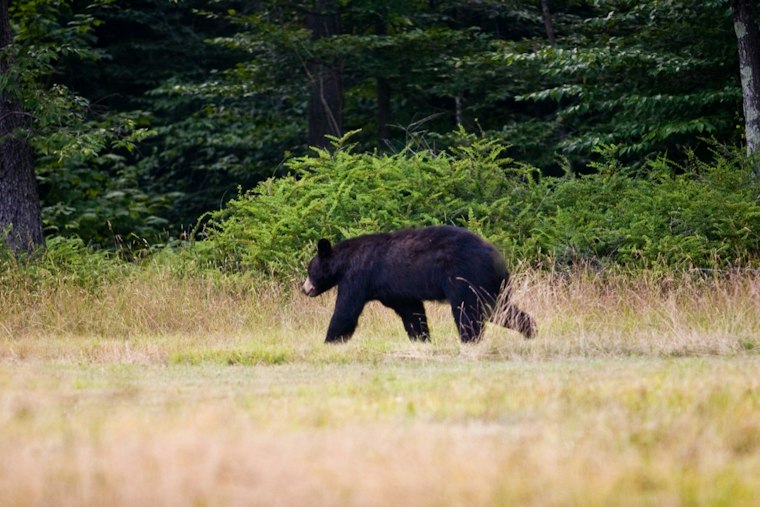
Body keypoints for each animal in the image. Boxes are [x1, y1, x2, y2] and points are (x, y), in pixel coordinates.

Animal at [302, 225, 536, 343]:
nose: (305, 289)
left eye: (310, 270)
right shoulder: (396, 291)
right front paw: (422, 339)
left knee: (467, 311)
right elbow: (412, 312)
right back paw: (530, 330)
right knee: (499, 309)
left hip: (465, 277)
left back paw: (469, 340)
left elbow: (346, 310)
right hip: (489, 285)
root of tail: (497, 258)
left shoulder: (358, 276)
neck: (344, 262)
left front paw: (329, 341)